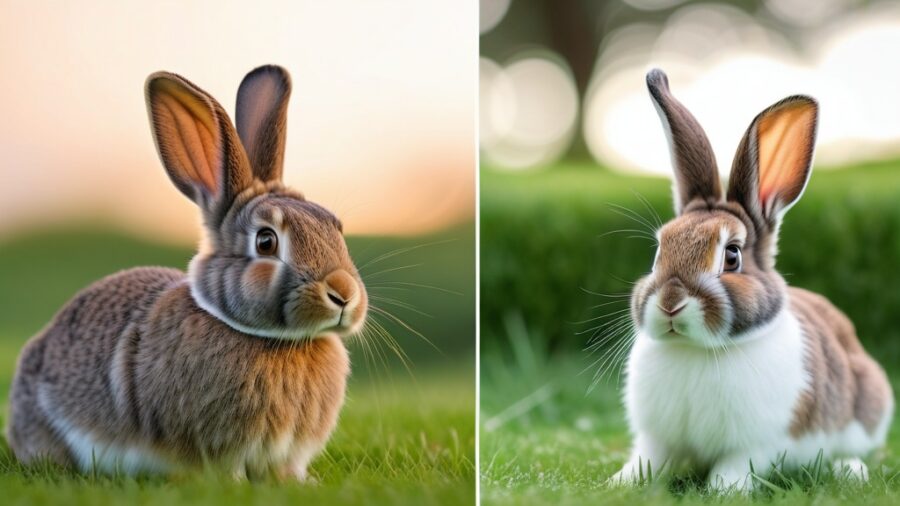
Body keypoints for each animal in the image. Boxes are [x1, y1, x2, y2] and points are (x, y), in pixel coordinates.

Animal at [6, 65, 368, 480]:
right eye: (266, 242)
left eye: (335, 227)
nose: (344, 294)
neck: (276, 340)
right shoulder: (216, 444)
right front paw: (236, 486)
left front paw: (300, 485)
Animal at [610, 69, 893, 492]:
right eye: (659, 250)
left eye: (732, 256)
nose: (670, 302)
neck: (697, 350)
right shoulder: (656, 438)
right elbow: (648, 460)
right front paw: (621, 482)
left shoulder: (759, 442)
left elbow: (734, 465)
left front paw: (722, 490)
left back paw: (850, 470)